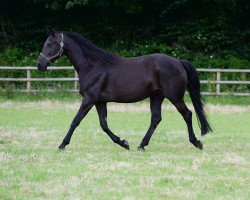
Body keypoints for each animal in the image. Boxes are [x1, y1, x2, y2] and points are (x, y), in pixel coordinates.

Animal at [36, 27, 211, 150]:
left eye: (50, 44)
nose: (39, 65)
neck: (92, 66)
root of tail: (178, 62)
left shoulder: (89, 99)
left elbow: (75, 121)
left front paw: (62, 144)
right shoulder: (99, 101)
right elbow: (104, 125)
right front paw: (123, 143)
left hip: (174, 97)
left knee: (187, 114)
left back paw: (196, 142)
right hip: (156, 96)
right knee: (156, 119)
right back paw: (141, 145)